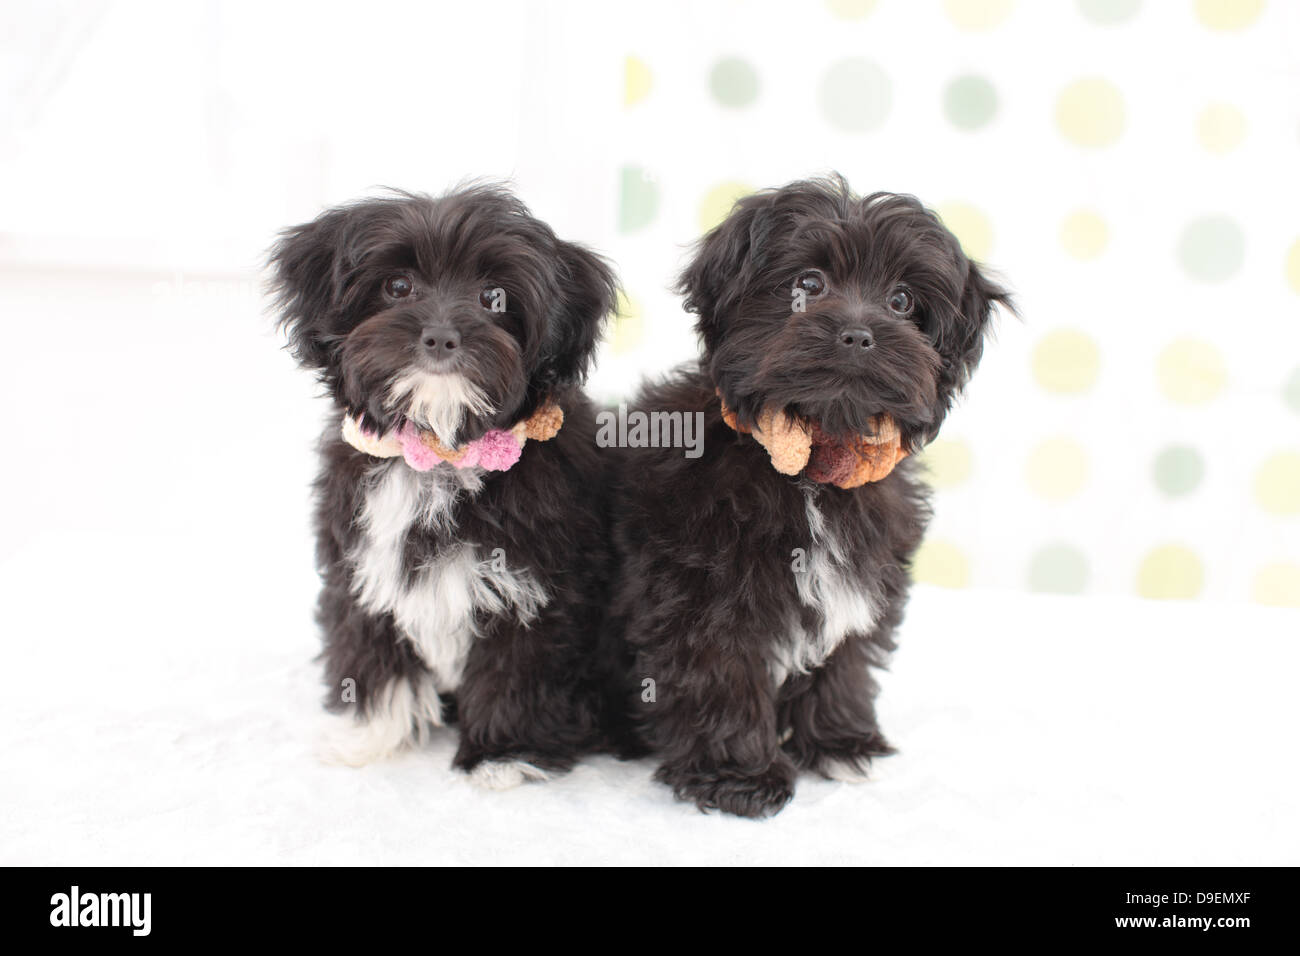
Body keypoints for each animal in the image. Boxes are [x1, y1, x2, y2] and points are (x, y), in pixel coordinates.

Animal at [269, 183, 618, 790]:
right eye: (397, 286)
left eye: (493, 297)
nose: (439, 335)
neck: (440, 451)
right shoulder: (361, 572)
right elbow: (372, 653)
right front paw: (369, 738)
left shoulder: (536, 590)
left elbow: (518, 669)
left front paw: (504, 756)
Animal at [611, 174, 1013, 816]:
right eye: (808, 284)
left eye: (902, 301)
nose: (858, 333)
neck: (816, 460)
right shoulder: (700, 592)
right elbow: (718, 674)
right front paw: (739, 777)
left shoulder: (863, 575)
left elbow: (844, 658)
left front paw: (839, 743)